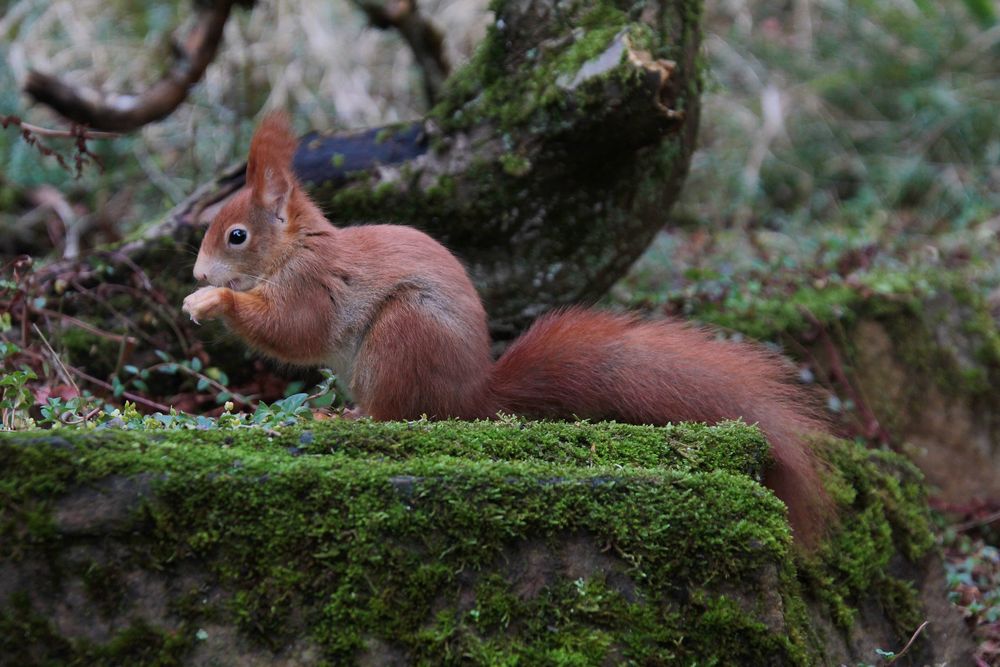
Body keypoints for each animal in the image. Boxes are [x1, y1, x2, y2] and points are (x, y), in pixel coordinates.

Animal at [184, 112, 832, 544]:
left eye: (236, 236)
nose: (196, 271)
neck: (294, 250)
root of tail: (473, 395)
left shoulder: (312, 286)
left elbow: (292, 331)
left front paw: (215, 300)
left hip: (402, 336)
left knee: (402, 416)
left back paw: (344, 418)